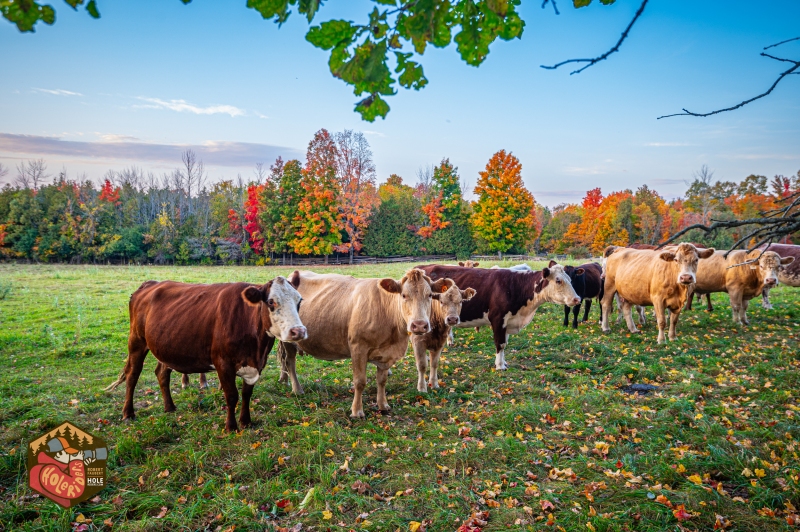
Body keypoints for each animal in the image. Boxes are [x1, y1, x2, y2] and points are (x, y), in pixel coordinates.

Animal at [106, 278, 306, 432]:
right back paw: (128, 413)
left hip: (165, 346)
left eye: (299, 301)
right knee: (133, 375)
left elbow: (246, 393)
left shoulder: (256, 365)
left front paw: (246, 422)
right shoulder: (222, 363)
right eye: (271, 302)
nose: (298, 331)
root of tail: (150, 283)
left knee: (162, 373)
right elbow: (232, 395)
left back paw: (169, 407)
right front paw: (231, 427)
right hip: (136, 341)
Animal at [276, 268, 450, 418]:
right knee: (290, 361)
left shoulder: (386, 354)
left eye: (429, 295)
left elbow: (382, 380)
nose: (419, 325)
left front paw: (383, 405)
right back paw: (297, 389)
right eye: (404, 295)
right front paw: (357, 411)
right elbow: (360, 382)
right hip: (289, 340)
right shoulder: (358, 348)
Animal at [418, 260, 580, 370]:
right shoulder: (498, 318)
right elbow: (500, 343)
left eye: (571, 279)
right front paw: (500, 365)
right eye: (558, 280)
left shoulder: (508, 321)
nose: (577, 299)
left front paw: (504, 362)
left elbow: (505, 343)